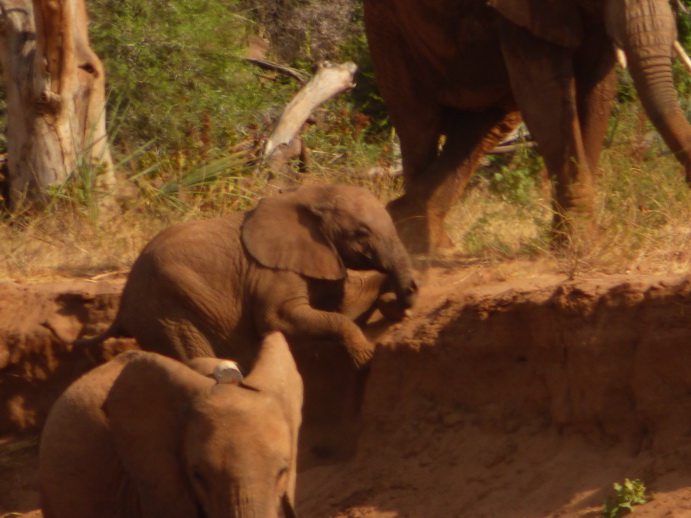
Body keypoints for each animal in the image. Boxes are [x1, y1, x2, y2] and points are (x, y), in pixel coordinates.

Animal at [75, 185, 416, 368]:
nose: (409, 292)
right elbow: (278, 320)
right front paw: (365, 358)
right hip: (166, 312)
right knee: (192, 355)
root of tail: (122, 305)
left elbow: (345, 307)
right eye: (361, 233)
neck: (310, 194)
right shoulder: (273, 272)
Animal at [362, 0, 691, 254]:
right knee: (419, 121)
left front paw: (578, 241)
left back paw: (418, 229)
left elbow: (596, 94)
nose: (687, 179)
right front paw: (577, 246)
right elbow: (544, 96)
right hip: (388, 27)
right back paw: (415, 242)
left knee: (490, 123)